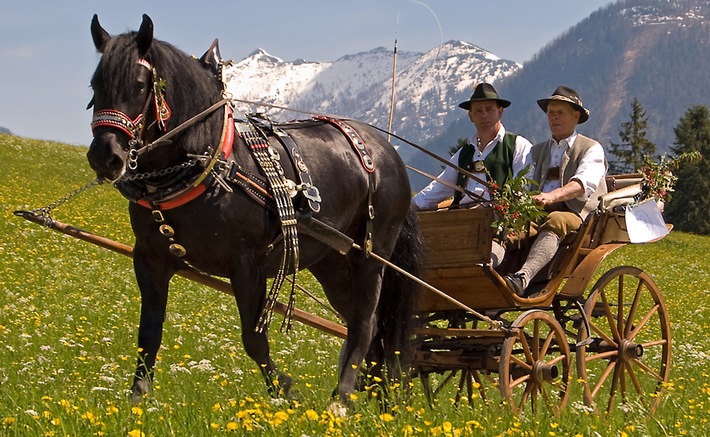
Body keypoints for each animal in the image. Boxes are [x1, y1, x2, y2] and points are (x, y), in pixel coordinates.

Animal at [87, 13, 422, 408]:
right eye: (95, 84)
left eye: (139, 85)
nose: (105, 156)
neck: (210, 162)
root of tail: (388, 151)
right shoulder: (150, 259)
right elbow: (148, 333)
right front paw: (137, 400)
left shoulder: (248, 265)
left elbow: (254, 339)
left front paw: (286, 390)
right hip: (334, 265)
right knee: (370, 328)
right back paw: (380, 399)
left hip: (371, 256)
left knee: (367, 324)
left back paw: (342, 399)